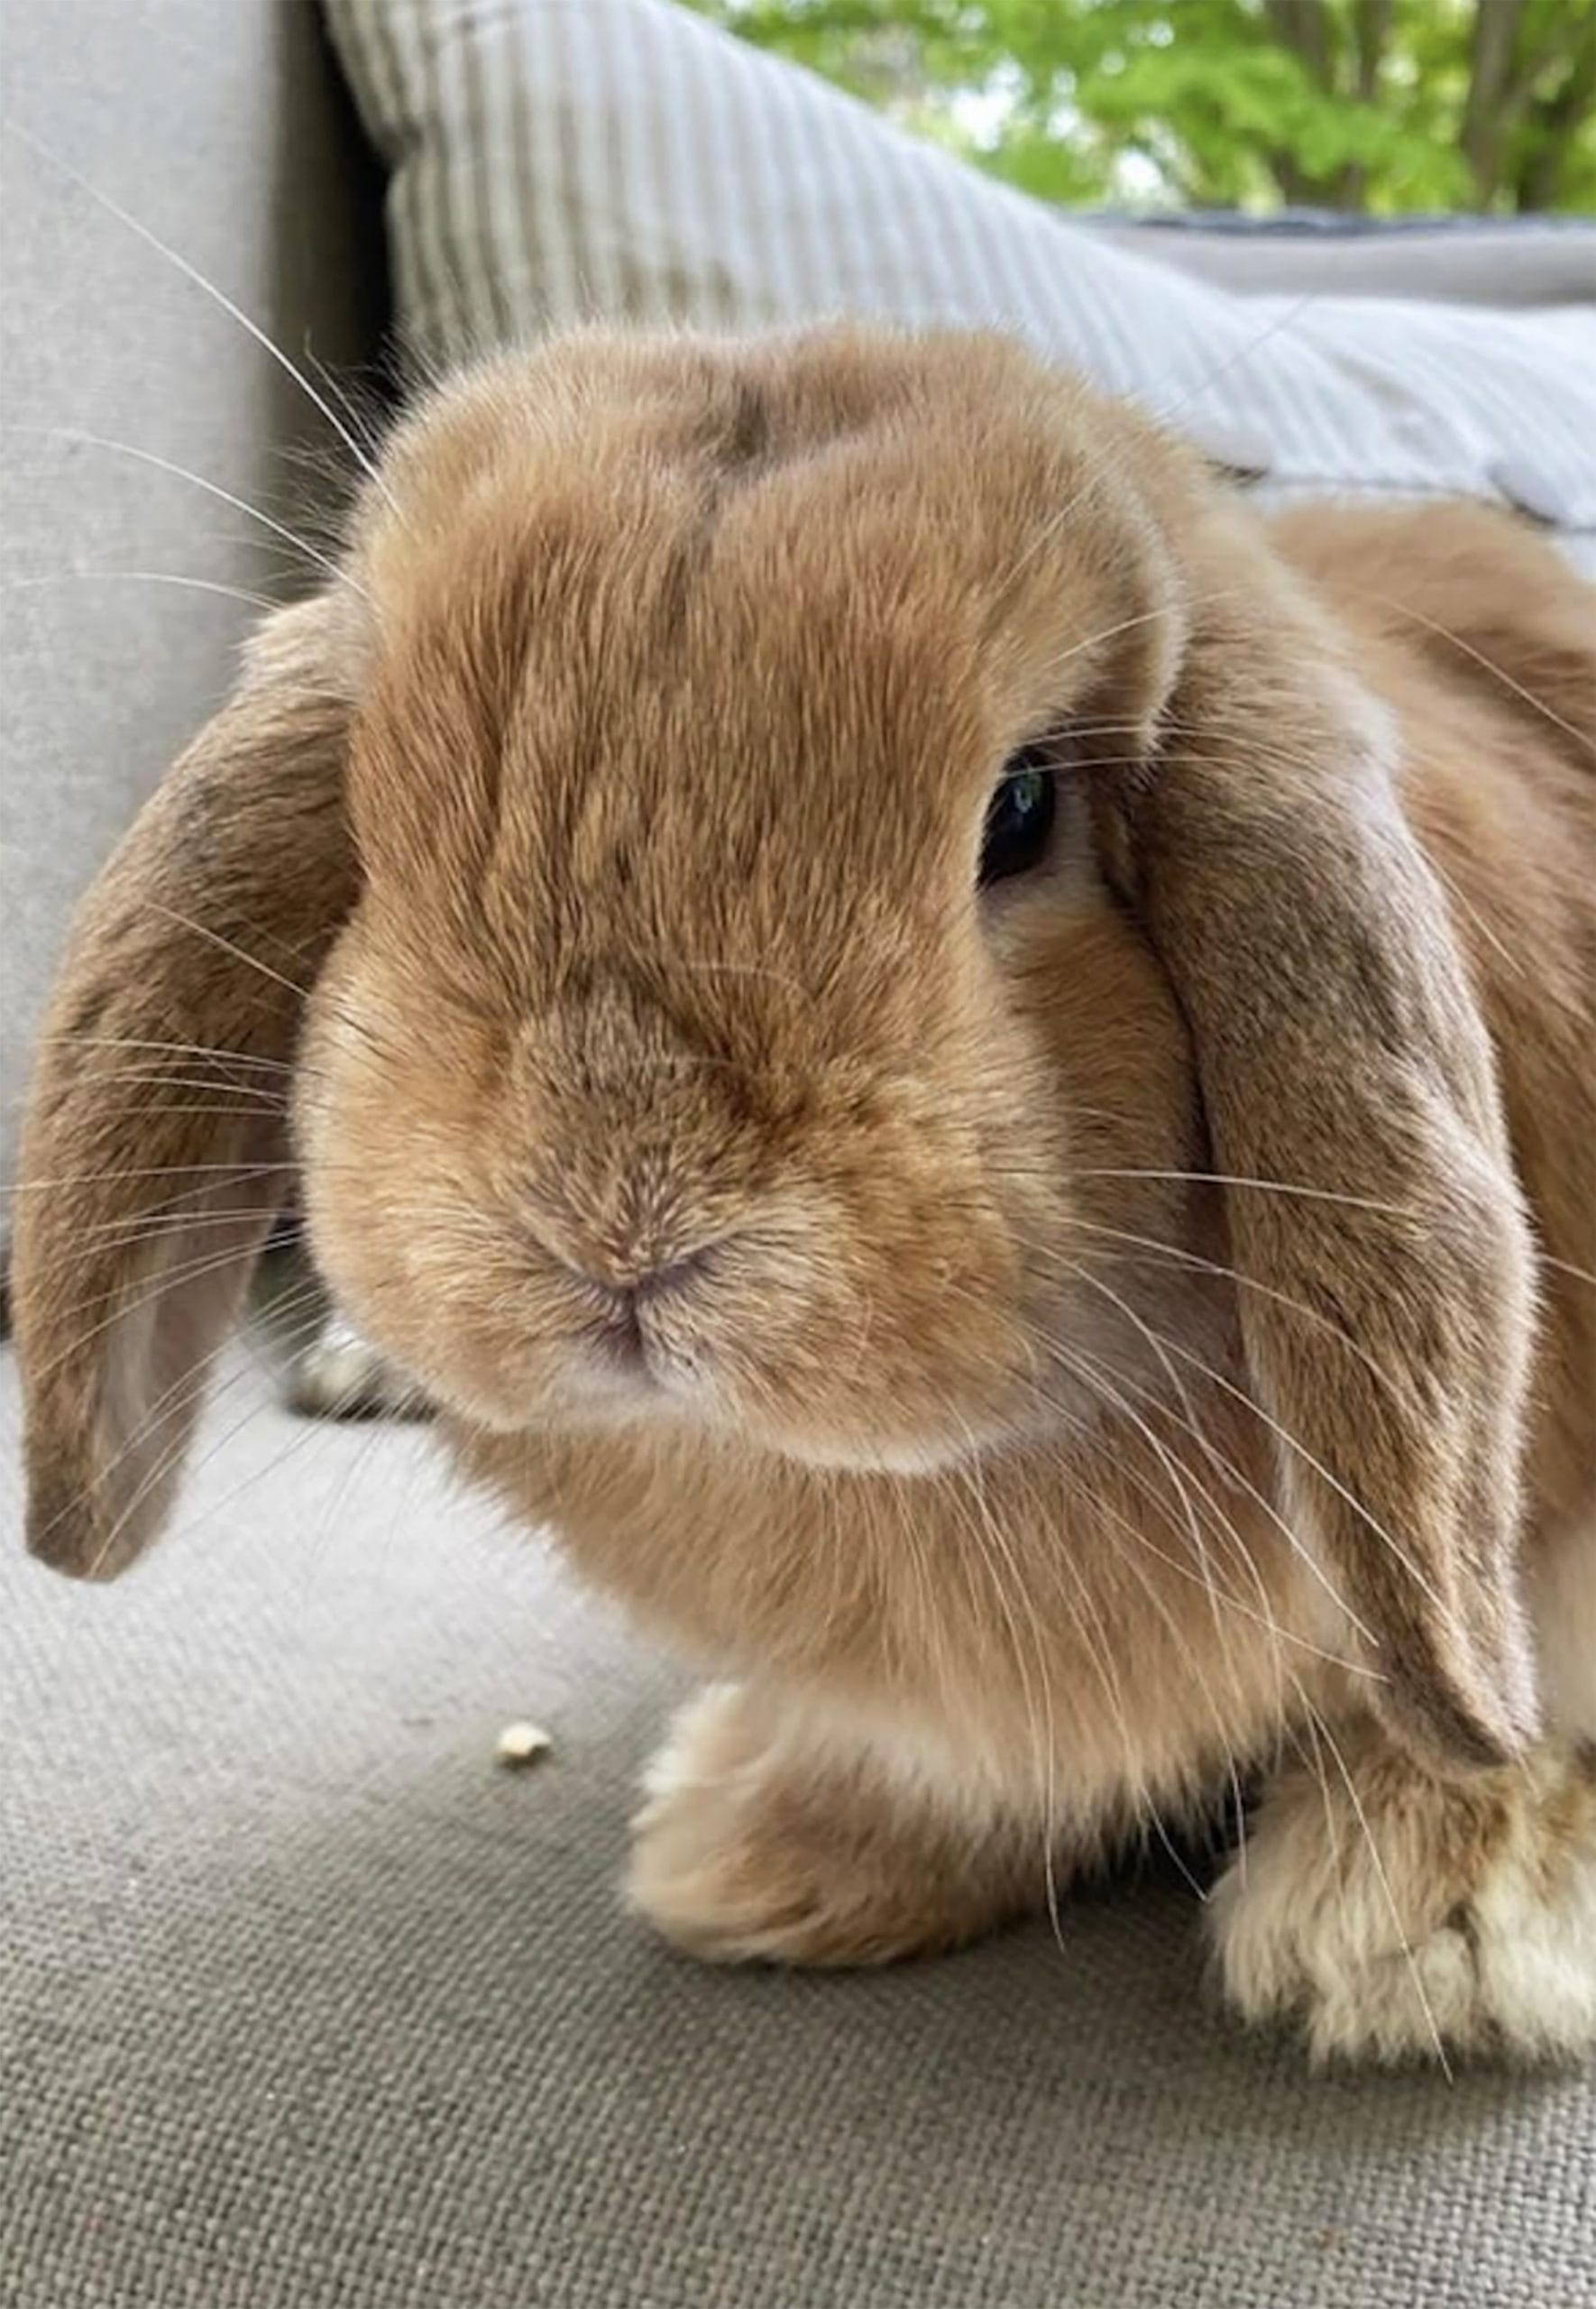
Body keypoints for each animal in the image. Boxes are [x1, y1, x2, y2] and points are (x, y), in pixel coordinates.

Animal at [11, 324, 1594, 2065]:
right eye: (375, 810)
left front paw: (1418, 1935)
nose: (613, 1215)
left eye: (1022, 810)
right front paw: (765, 1863)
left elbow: (1531, 1715)